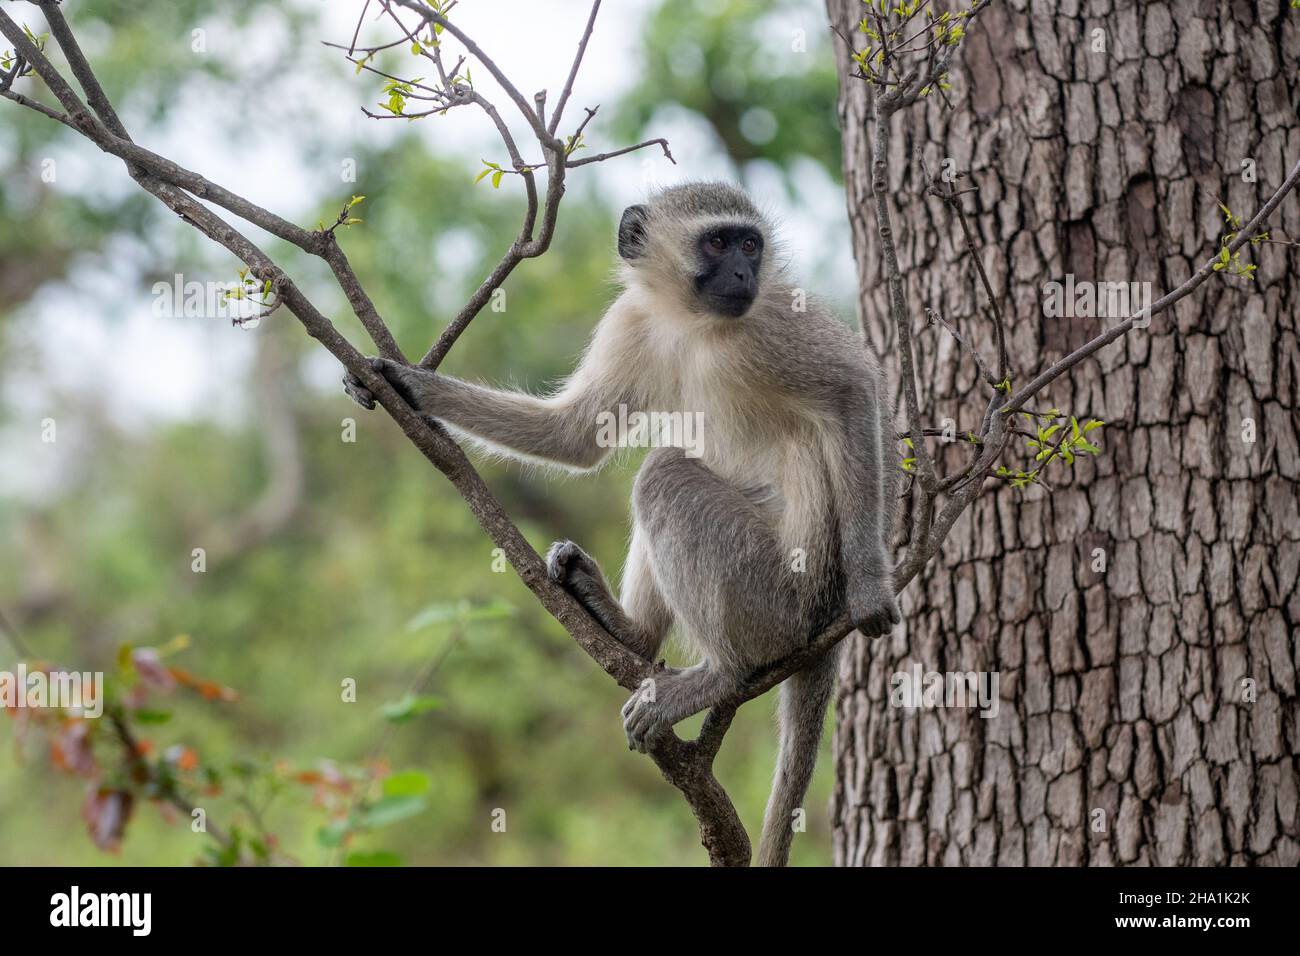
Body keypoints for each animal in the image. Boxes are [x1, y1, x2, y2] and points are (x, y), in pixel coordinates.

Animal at [340, 180, 899, 868]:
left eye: (750, 244)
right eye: (719, 242)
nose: (745, 273)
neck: (691, 322)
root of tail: (823, 623)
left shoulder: (776, 322)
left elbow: (856, 394)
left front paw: (872, 586)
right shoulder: (631, 321)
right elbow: (577, 435)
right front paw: (405, 383)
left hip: (779, 600)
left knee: (664, 476)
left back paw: (723, 672)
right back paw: (631, 632)